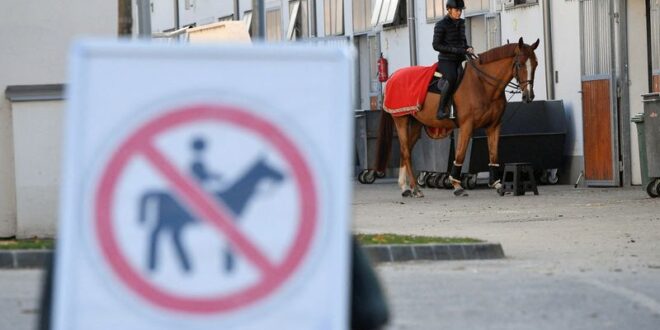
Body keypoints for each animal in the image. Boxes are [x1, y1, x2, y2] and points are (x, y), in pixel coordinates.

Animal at [374, 38, 540, 199]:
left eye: (536, 64)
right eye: (519, 64)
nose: (528, 96)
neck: (483, 85)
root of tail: (393, 77)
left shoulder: (494, 126)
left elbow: (493, 155)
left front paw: (497, 184)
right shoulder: (467, 126)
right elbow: (460, 154)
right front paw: (456, 185)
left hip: (416, 123)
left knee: (405, 150)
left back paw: (405, 187)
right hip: (401, 120)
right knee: (406, 152)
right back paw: (415, 188)